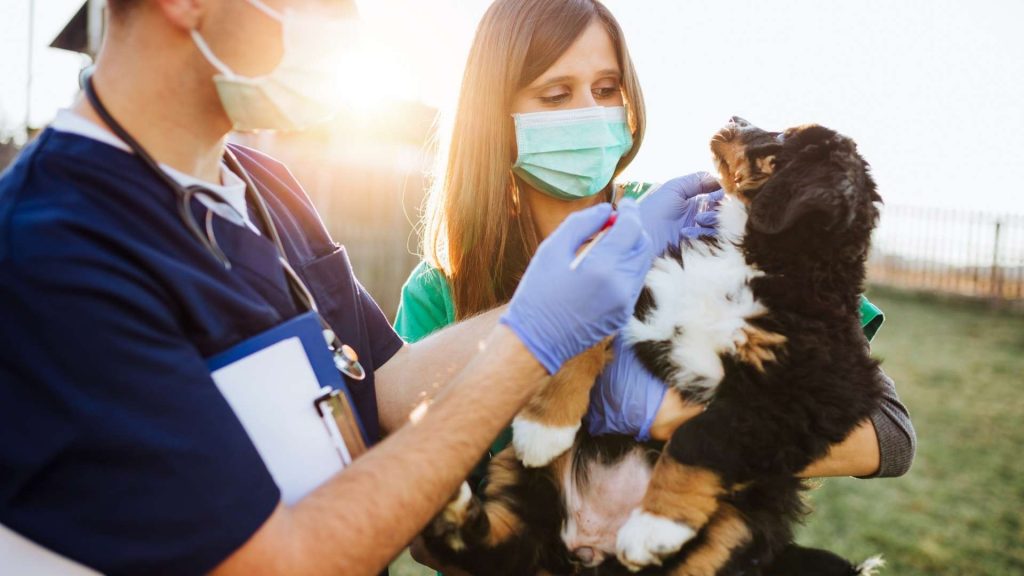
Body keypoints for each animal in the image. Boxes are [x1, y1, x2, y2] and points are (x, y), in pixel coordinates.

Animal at [423, 117, 888, 573]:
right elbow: (581, 337)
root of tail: (589, 551)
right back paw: (452, 507)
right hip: (519, 480)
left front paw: (653, 525)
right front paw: (545, 428)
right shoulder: (639, 291)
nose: (732, 118)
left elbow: (700, 435)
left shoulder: (811, 394)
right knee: (499, 548)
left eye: (783, 137)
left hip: (744, 521)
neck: (753, 259)